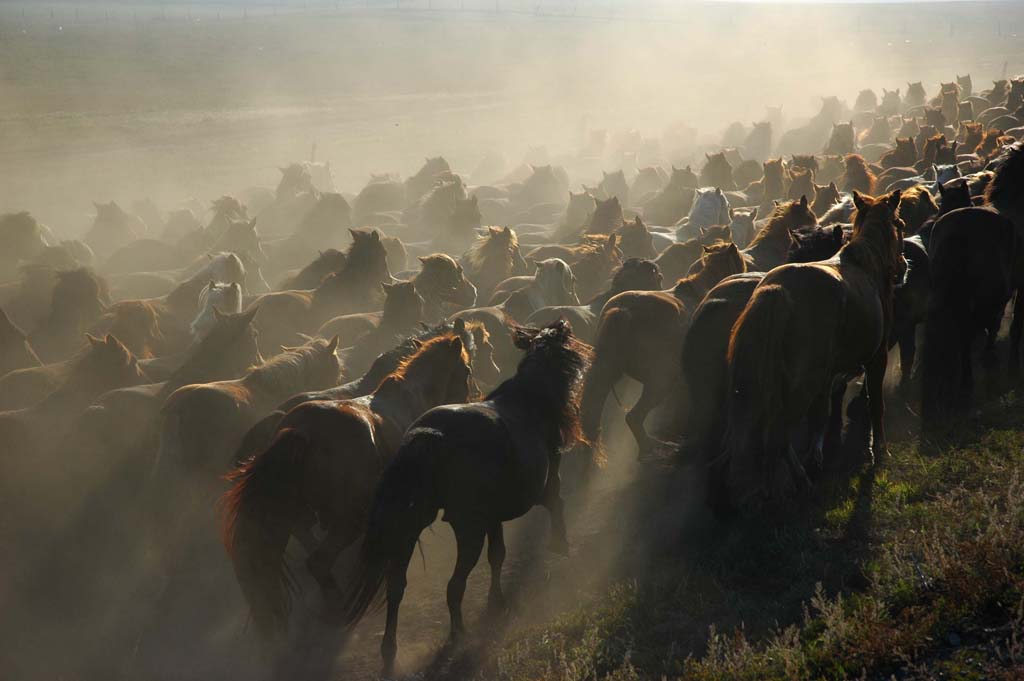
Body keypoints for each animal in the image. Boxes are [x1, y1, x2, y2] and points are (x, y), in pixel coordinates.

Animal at [221, 331, 475, 639]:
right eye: (466, 369)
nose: (467, 401)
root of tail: (302, 431)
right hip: (347, 522)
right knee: (318, 561)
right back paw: (336, 608)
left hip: (299, 517)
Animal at [720, 188, 905, 507]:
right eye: (899, 224)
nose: (903, 266)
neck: (866, 265)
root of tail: (780, 290)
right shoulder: (877, 358)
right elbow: (875, 404)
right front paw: (879, 450)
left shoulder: (829, 377)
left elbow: (822, 416)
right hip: (802, 386)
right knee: (779, 435)